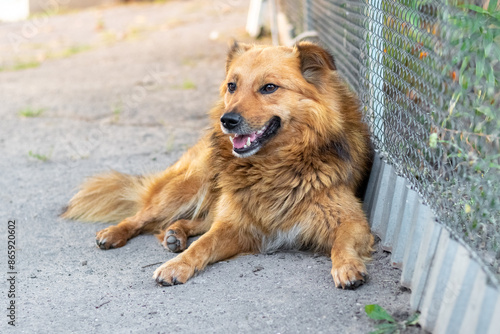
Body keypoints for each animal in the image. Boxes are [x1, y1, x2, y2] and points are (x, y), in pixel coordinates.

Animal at [62, 42, 374, 290]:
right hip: (190, 184)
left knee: (198, 220)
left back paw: (176, 233)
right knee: (145, 216)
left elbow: (342, 243)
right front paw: (177, 265)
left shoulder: (351, 220)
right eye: (232, 86)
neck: (273, 166)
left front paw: (347, 266)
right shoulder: (237, 225)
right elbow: (204, 244)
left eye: (269, 87)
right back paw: (117, 232)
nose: (228, 120)